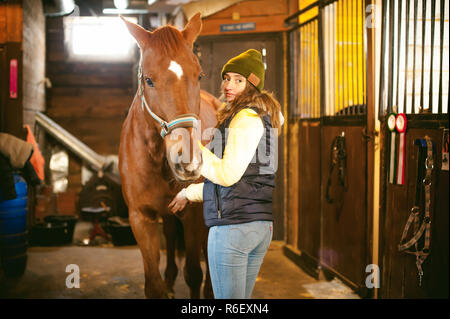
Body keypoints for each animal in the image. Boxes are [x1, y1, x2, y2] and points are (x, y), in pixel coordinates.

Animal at [118, 13, 220, 298]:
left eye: (199, 75)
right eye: (148, 80)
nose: (188, 161)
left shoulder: (194, 216)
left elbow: (194, 273)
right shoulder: (141, 218)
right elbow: (153, 285)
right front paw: (165, 282)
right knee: (172, 236)